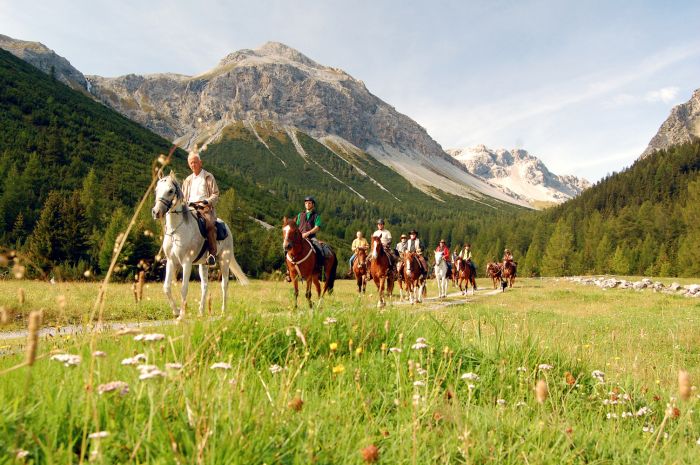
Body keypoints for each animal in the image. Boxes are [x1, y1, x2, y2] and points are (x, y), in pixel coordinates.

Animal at [151, 171, 249, 320]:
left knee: (224, 285)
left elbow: (184, 288)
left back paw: (223, 312)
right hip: (204, 264)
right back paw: (201, 311)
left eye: (170, 190)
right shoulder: (171, 261)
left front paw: (182, 315)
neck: (177, 230)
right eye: (157, 190)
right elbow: (166, 287)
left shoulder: (186, 262)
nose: (156, 212)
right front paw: (176, 311)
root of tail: (226, 226)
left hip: (224, 261)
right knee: (205, 286)